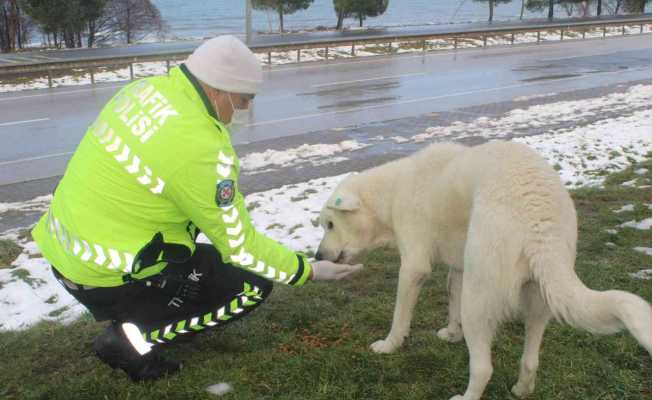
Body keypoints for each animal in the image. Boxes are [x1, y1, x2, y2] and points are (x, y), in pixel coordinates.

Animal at [316, 141, 652, 400]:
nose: (317, 255)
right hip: (538, 296)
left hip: (478, 298)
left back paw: (466, 396)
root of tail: (540, 219)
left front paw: (388, 346)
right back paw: (521, 389)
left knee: (482, 367)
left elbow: (400, 316)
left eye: (330, 224)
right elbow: (451, 296)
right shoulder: (459, 266)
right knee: (530, 358)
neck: (393, 189)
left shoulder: (413, 267)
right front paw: (452, 333)